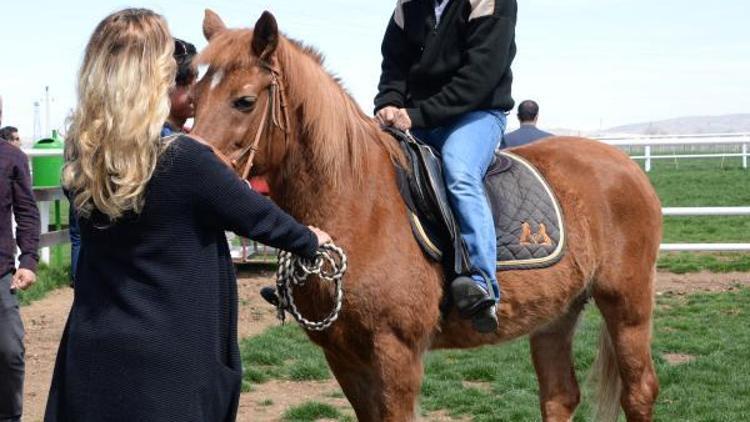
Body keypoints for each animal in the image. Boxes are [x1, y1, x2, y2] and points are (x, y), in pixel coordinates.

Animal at [191, 9, 660, 422]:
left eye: (244, 101)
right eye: (192, 98)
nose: (195, 168)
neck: (358, 202)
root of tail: (626, 165)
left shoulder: (396, 353)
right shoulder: (343, 356)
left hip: (627, 306)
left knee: (639, 392)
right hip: (556, 313)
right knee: (560, 396)